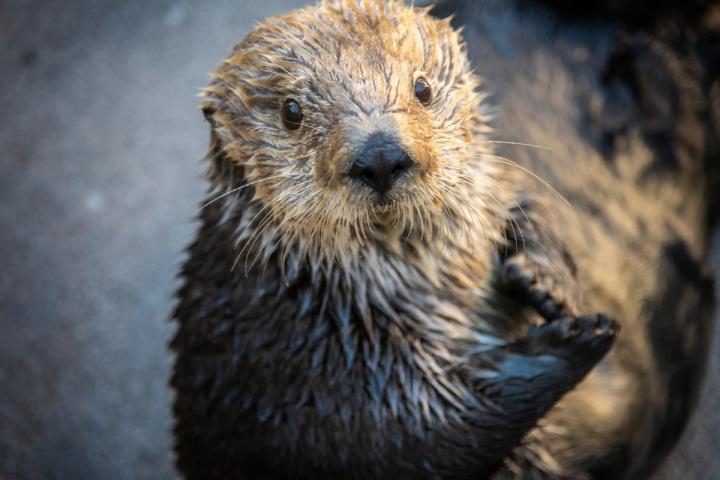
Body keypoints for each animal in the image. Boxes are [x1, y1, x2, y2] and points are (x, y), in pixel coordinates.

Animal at [172, 1, 716, 478]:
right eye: (291, 111)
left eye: (422, 88)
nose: (380, 155)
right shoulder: (286, 364)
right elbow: (403, 439)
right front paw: (566, 344)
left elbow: (526, 204)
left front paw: (544, 279)